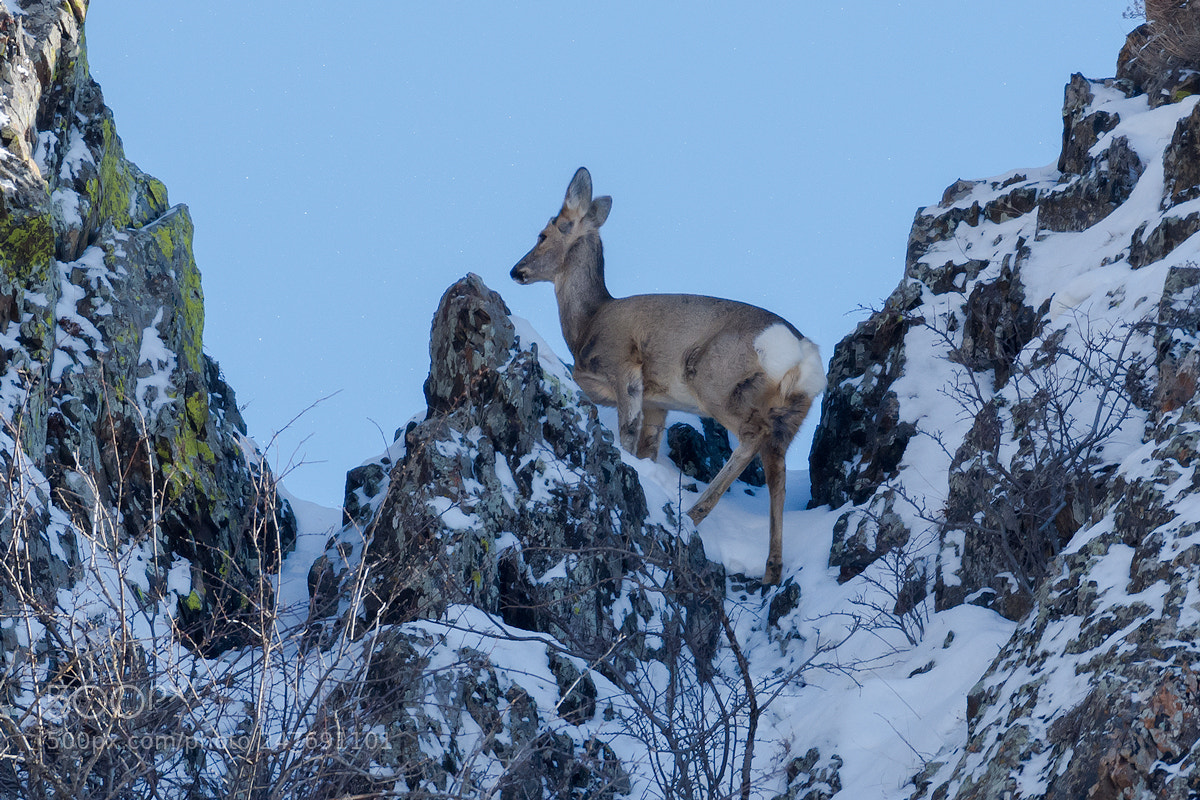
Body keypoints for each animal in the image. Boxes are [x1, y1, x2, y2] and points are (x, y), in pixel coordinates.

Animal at [509, 167, 826, 586]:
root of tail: (803, 355)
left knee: (751, 439)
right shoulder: (658, 403)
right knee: (778, 475)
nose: (516, 271)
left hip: (715, 382)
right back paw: (771, 569)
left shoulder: (625, 366)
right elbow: (647, 448)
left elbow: (626, 433)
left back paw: (693, 514)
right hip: (789, 419)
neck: (587, 326)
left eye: (544, 233)